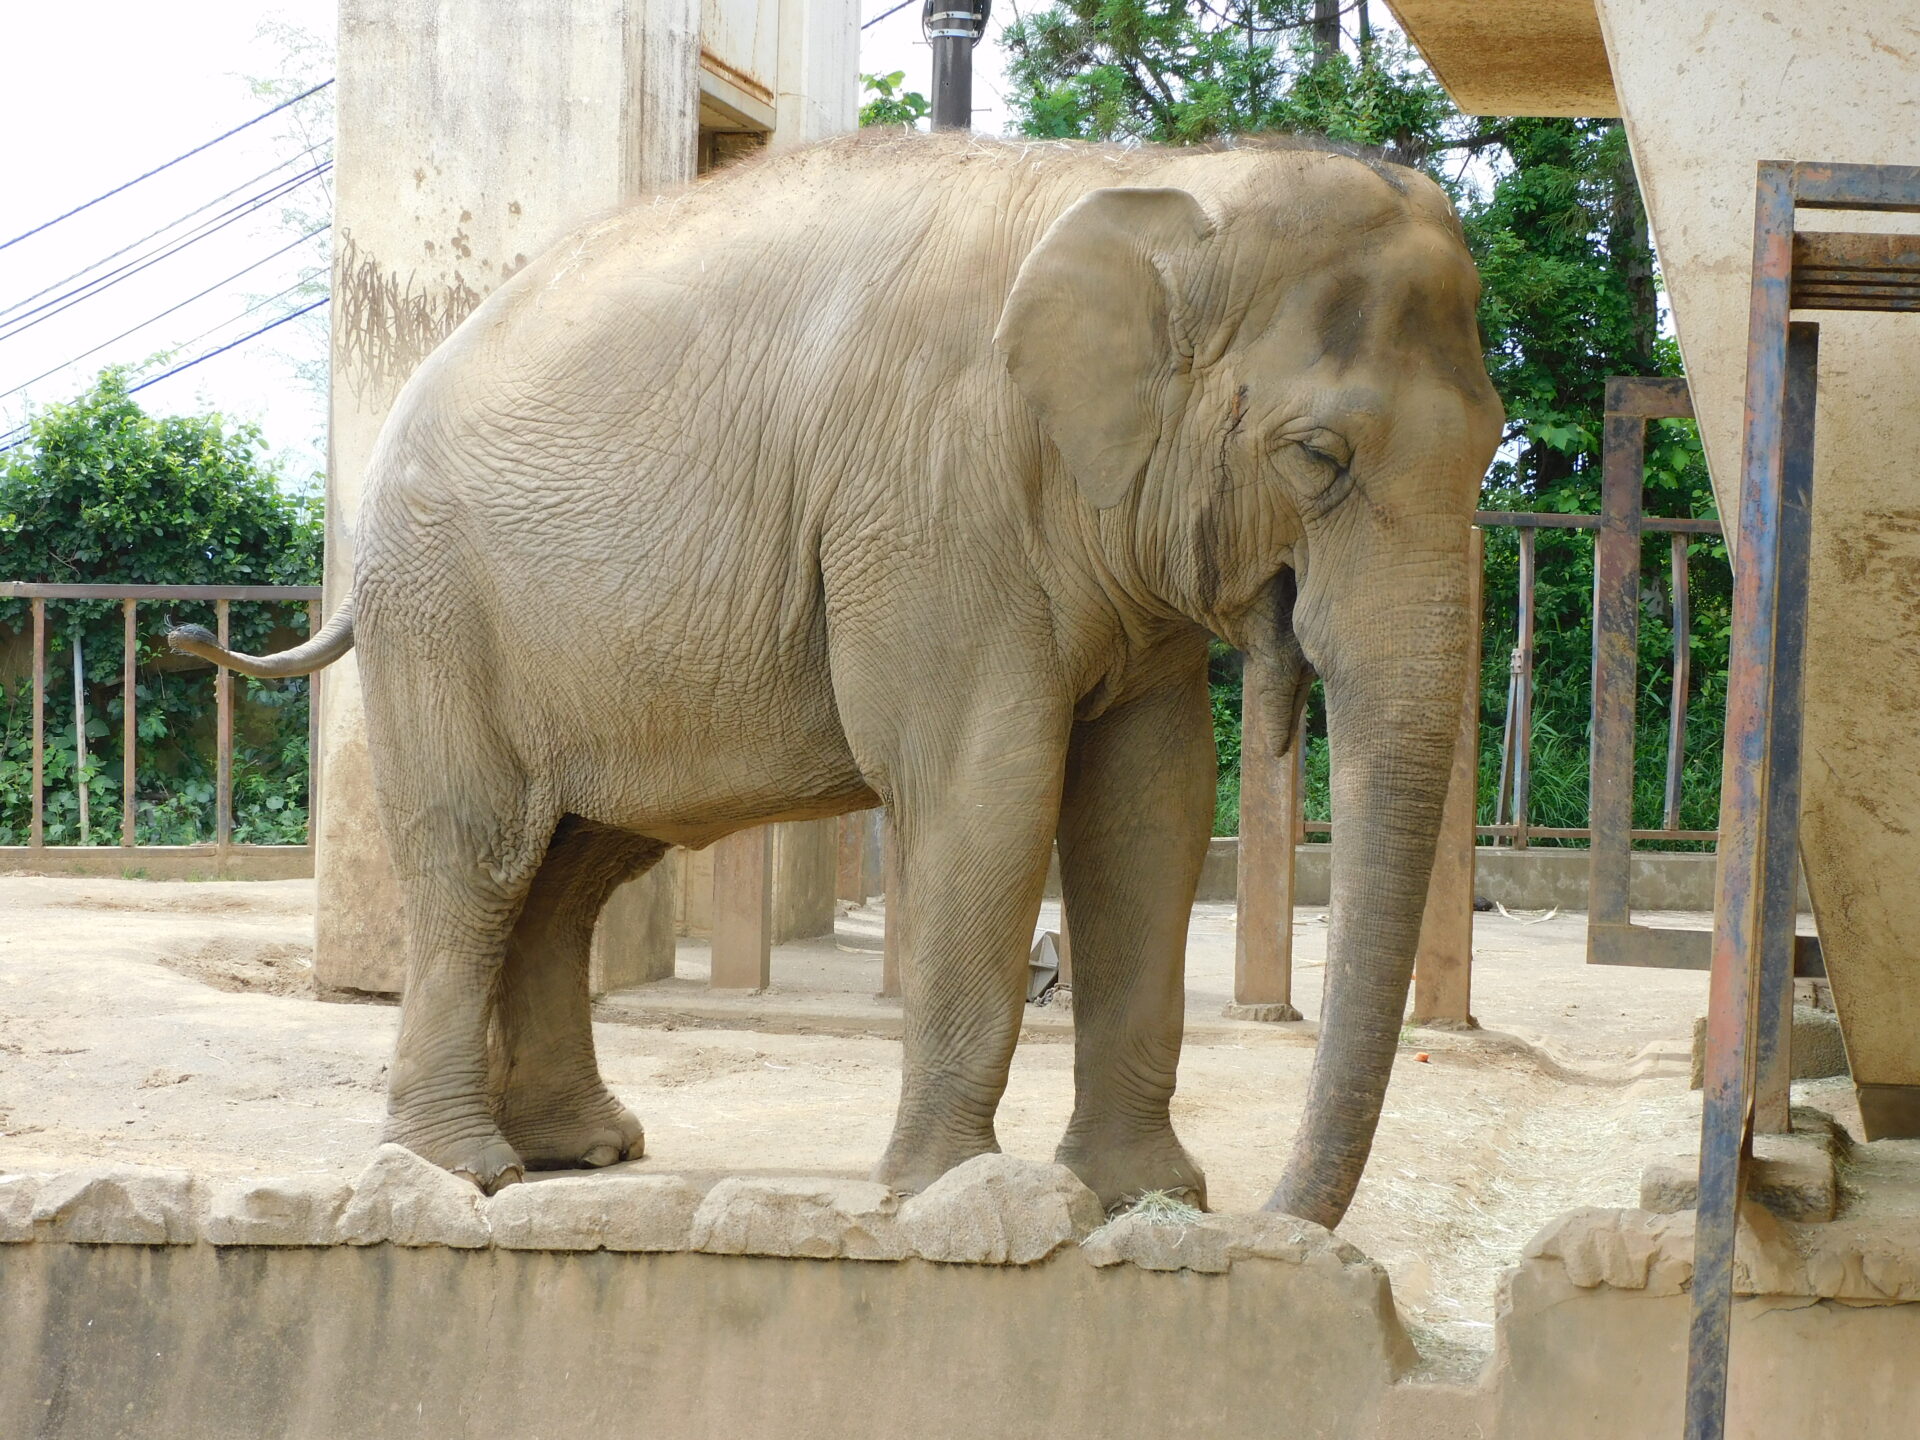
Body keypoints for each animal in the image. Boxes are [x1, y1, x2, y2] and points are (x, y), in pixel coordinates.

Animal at [168, 132, 1497, 1228]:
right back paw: (464, 1173)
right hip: (444, 617)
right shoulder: (932, 504)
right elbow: (986, 788)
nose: (1280, 1220)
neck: (1155, 184)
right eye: (1317, 455)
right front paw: (957, 1194)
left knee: (576, 873)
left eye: (1492, 446)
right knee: (478, 863)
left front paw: (1141, 1201)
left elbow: (1150, 807)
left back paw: (583, 1154)